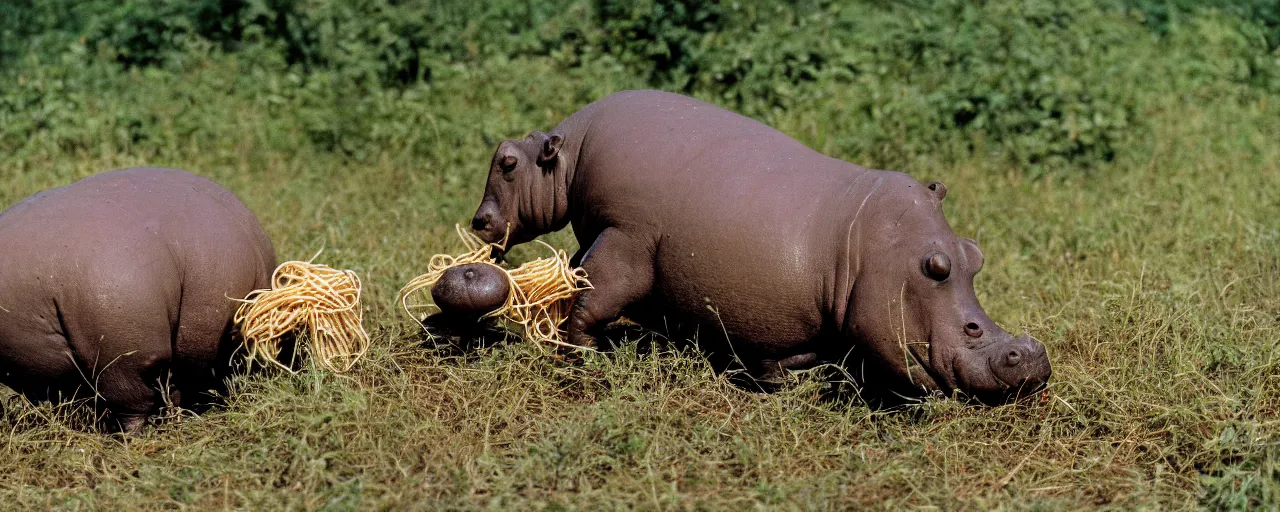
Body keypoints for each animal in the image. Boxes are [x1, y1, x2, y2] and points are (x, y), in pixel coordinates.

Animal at [471, 90, 1049, 407]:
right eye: (937, 266)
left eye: (975, 255)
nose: (1031, 356)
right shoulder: (624, 236)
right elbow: (591, 296)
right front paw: (582, 360)